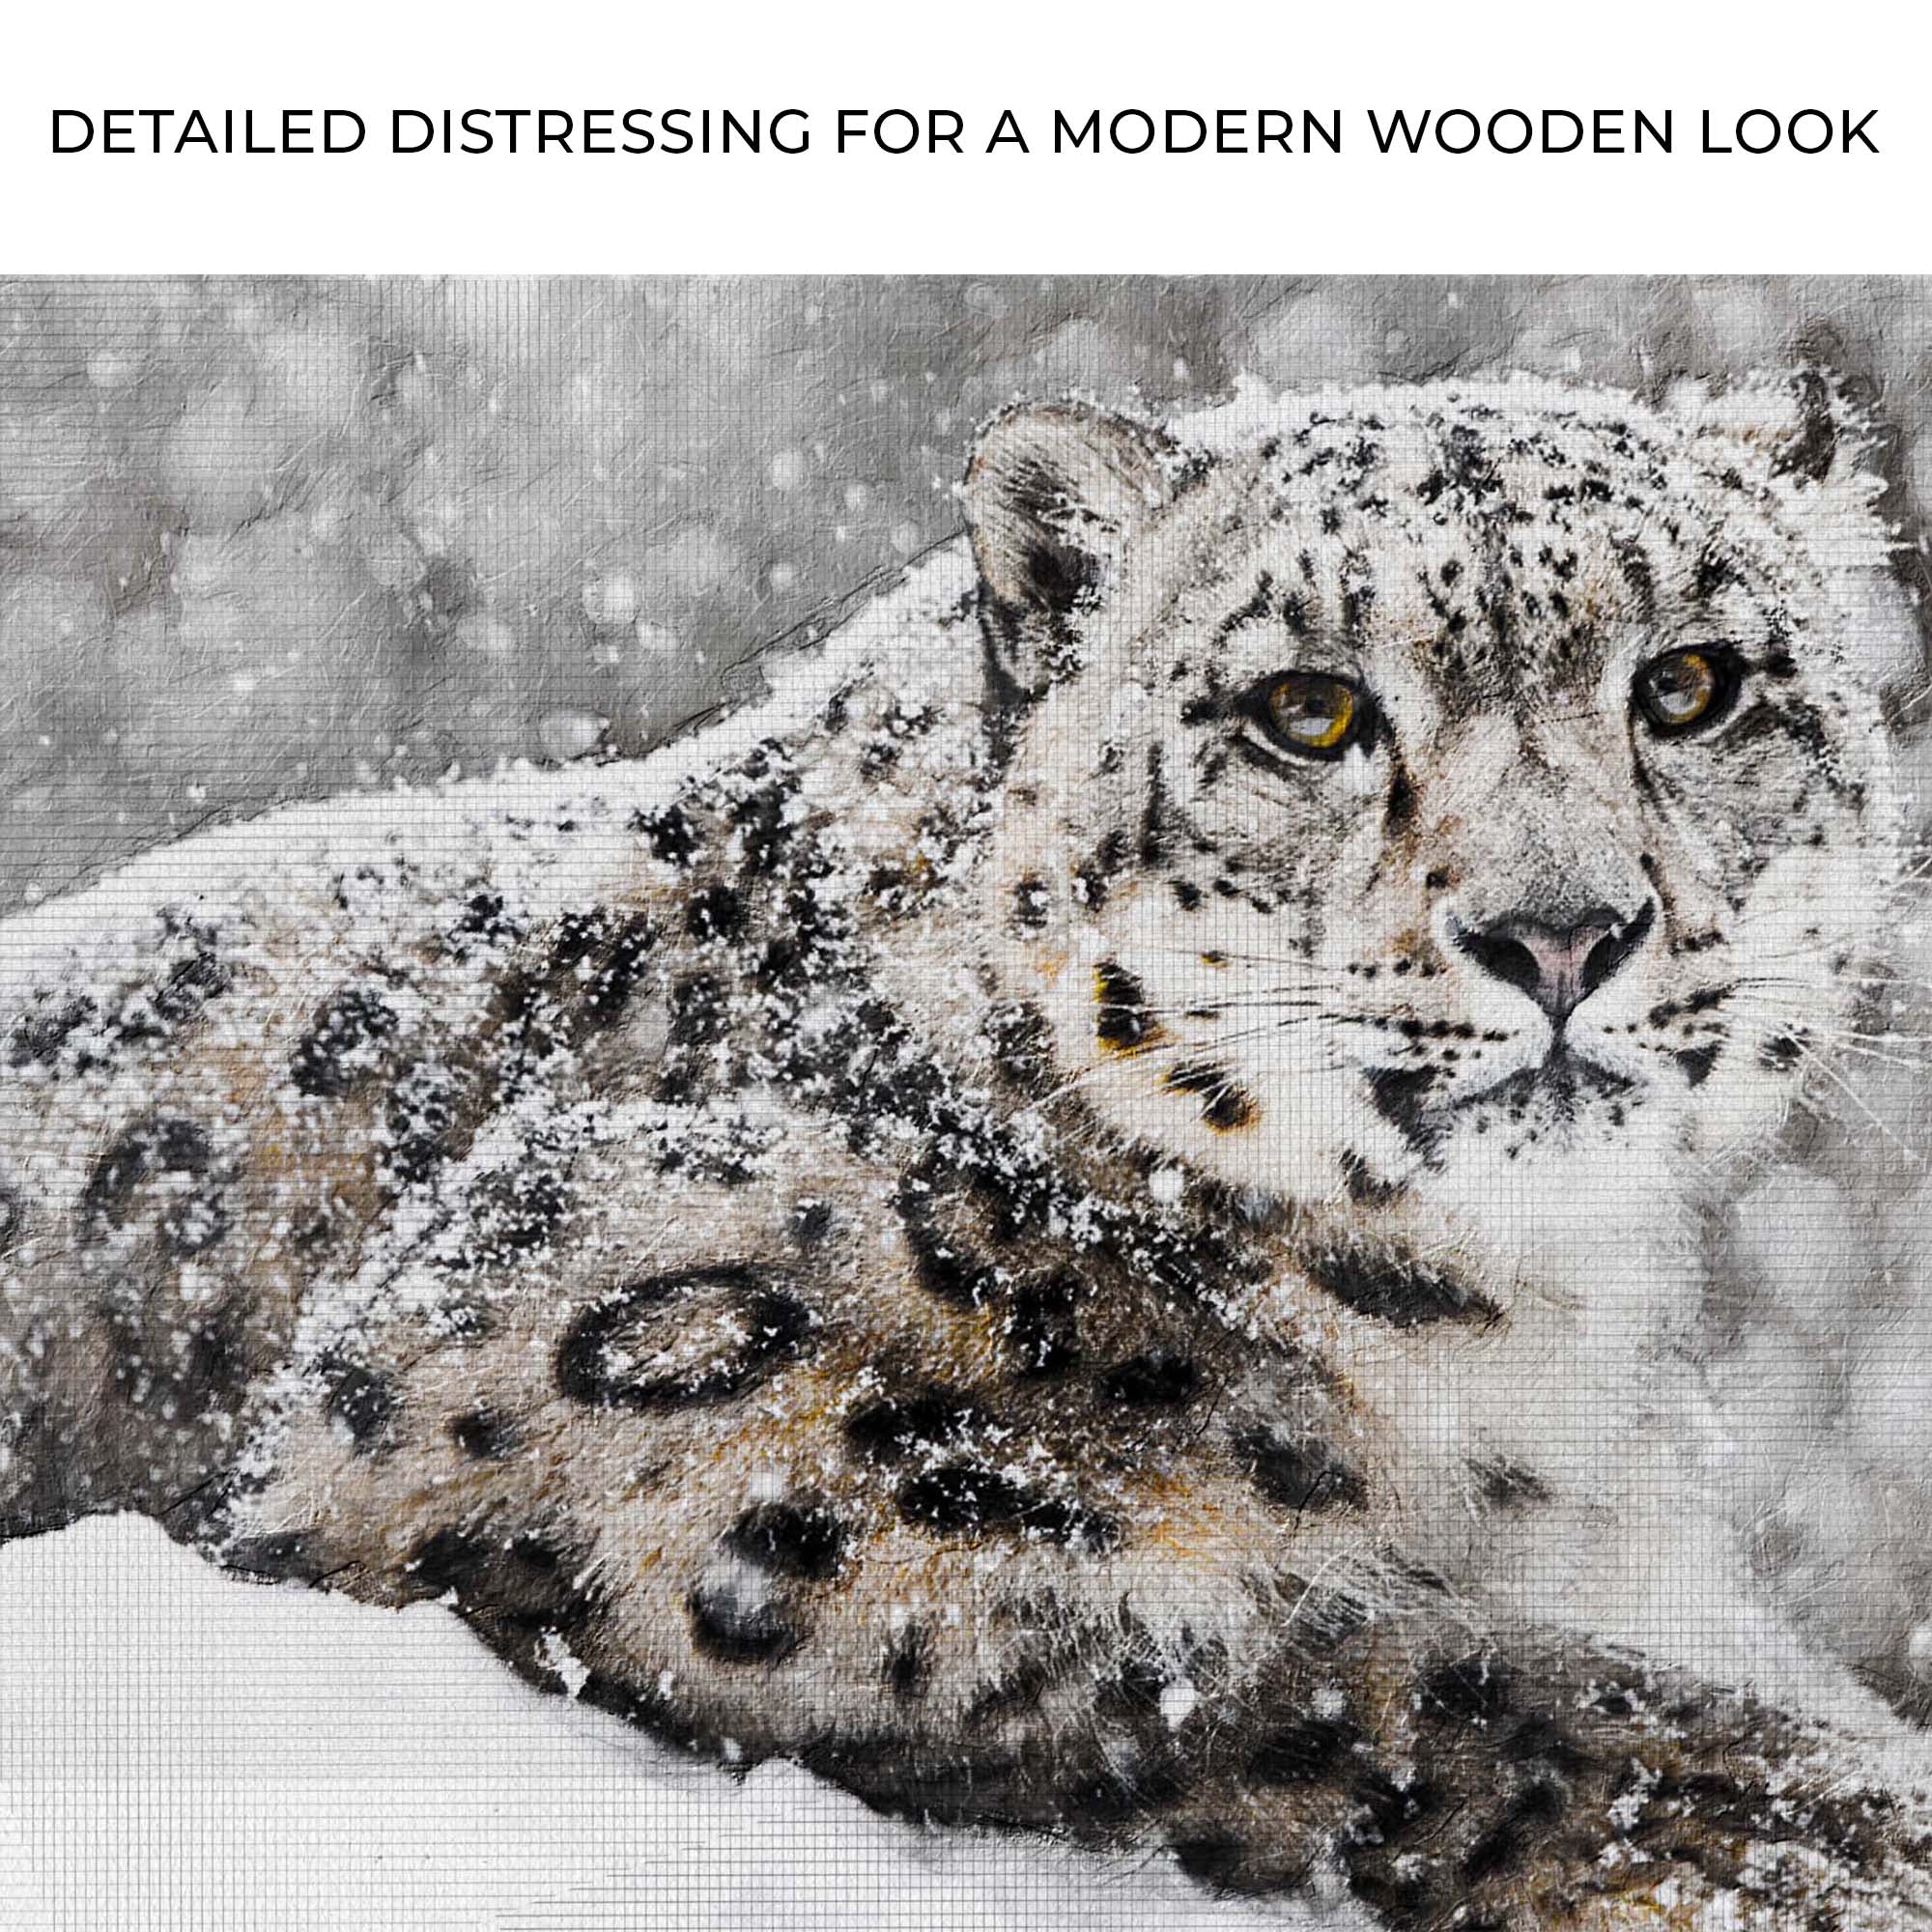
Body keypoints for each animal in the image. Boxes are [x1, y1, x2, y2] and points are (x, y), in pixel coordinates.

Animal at [4, 370, 1932, 1928]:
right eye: (1308, 709)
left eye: (1691, 684)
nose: (1561, 932)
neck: (1515, 1346)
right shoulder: (623, 1435)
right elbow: (1332, 1677)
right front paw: (1845, 1834)